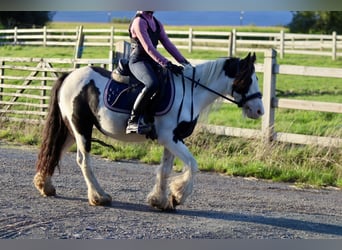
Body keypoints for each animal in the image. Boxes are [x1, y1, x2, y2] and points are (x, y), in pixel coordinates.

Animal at [33, 52, 264, 211]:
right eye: (248, 79)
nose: (260, 110)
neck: (190, 92)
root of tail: (69, 75)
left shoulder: (173, 140)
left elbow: (165, 170)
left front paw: (160, 200)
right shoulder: (170, 138)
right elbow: (192, 165)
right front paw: (178, 196)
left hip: (71, 130)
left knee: (55, 151)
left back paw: (45, 186)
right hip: (81, 128)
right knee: (83, 160)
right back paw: (99, 197)